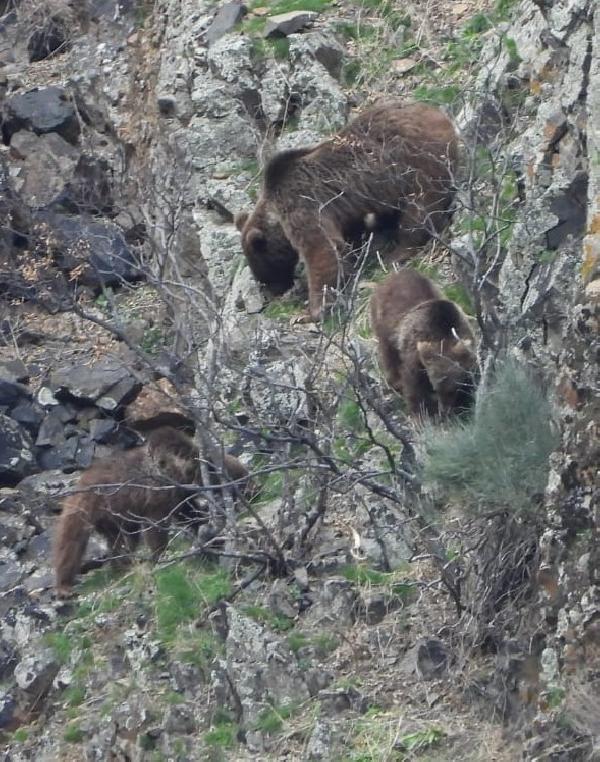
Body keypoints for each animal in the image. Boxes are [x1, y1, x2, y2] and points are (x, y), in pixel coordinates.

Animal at [52, 428, 247, 592]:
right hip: (92, 508)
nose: (194, 463)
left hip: (112, 518)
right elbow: (156, 528)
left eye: (190, 455)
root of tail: (81, 484)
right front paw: (160, 555)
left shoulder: (176, 495)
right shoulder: (156, 499)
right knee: (73, 540)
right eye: (182, 456)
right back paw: (66, 583)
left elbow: (186, 512)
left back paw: (122, 564)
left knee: (120, 539)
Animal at [237, 99, 458, 320]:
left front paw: (313, 310)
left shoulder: (303, 204)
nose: (272, 293)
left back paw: (396, 253)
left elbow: (322, 250)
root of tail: (440, 116)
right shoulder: (343, 211)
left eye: (261, 269)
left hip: (415, 163)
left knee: (419, 209)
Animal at [370, 270, 478, 416]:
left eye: (453, 388)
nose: (444, 409)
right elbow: (413, 385)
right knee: (388, 353)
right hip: (384, 324)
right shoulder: (414, 353)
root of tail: (391, 276)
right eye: (436, 387)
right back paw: (395, 382)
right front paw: (420, 413)